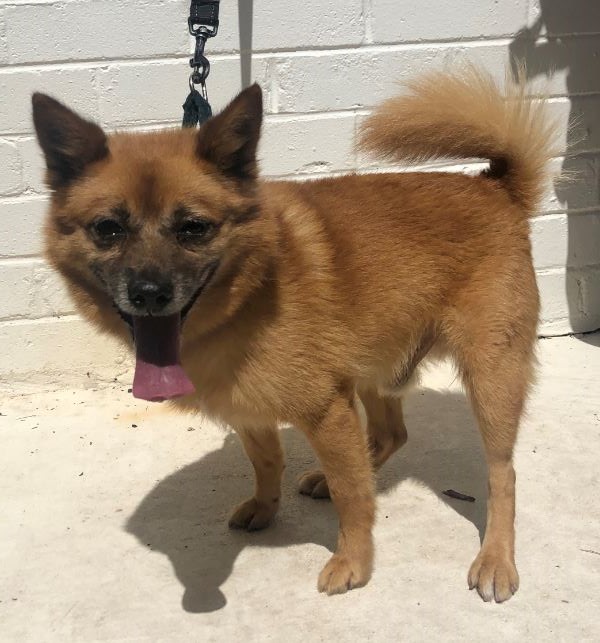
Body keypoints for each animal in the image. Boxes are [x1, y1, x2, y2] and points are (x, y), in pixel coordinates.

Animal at [32, 65, 554, 602]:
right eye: (107, 229)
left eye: (193, 228)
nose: (149, 293)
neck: (248, 298)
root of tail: (497, 188)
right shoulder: (249, 410)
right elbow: (268, 463)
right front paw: (267, 507)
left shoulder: (327, 411)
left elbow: (353, 496)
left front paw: (353, 561)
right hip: (372, 366)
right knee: (390, 435)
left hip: (491, 380)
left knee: (501, 474)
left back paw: (496, 559)